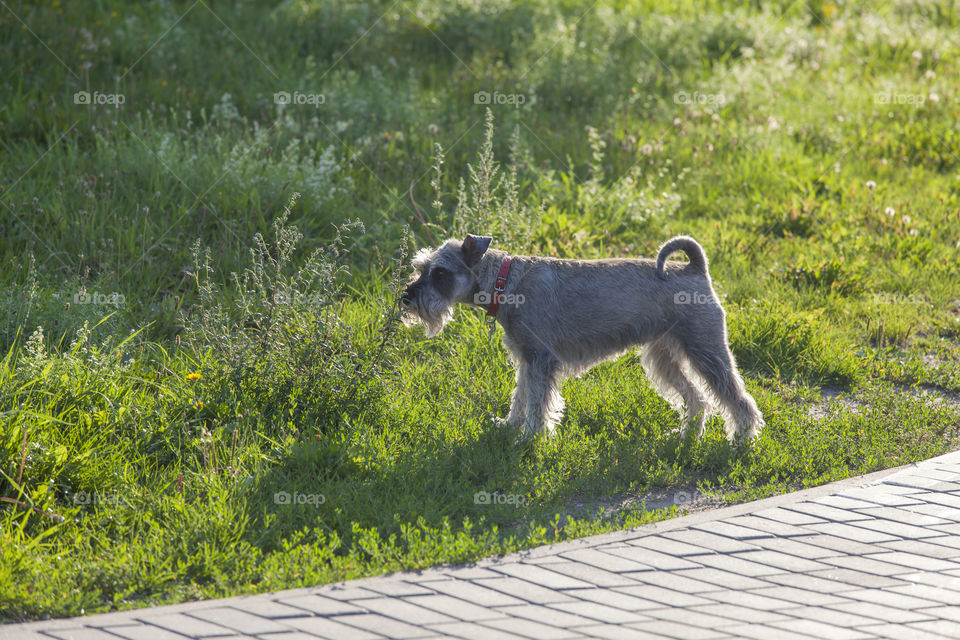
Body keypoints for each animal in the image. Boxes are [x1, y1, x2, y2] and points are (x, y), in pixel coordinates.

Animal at [398, 232, 764, 442]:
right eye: (420, 267)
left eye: (440, 272)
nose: (406, 297)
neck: (505, 282)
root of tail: (695, 268)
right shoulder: (526, 360)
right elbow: (521, 396)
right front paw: (510, 425)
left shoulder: (541, 361)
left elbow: (538, 404)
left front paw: (529, 440)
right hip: (664, 358)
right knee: (697, 398)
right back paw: (687, 435)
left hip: (706, 350)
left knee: (738, 399)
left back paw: (741, 440)